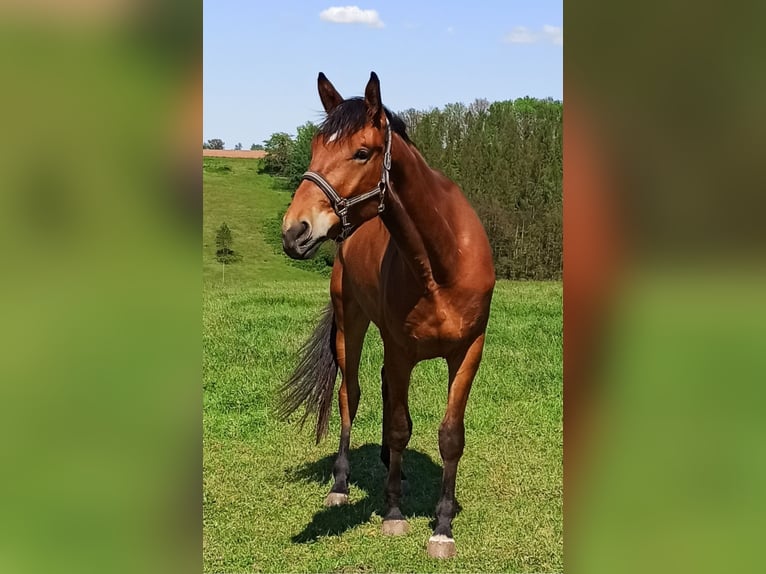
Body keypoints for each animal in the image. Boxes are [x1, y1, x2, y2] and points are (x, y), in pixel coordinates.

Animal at [280, 70, 496, 560]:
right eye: (314, 147)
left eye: (362, 152)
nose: (294, 231)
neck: (442, 262)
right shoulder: (401, 350)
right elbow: (399, 427)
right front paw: (394, 513)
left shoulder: (468, 352)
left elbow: (450, 436)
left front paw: (443, 527)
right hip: (352, 323)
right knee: (350, 395)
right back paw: (342, 484)